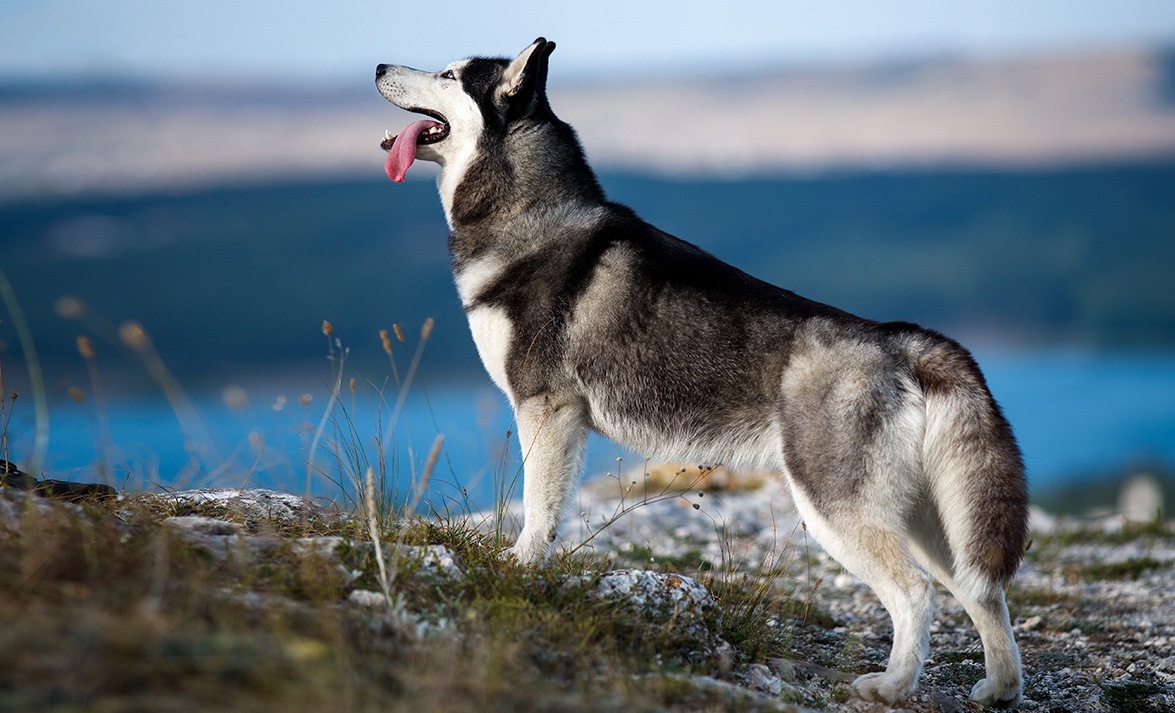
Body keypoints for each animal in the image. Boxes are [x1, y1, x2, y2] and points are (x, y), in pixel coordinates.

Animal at [376, 40, 1029, 709]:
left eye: (449, 75)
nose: (377, 68)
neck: (529, 214)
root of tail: (900, 341)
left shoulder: (545, 408)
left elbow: (538, 509)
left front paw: (520, 569)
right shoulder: (567, 422)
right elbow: (552, 510)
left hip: (837, 506)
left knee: (917, 593)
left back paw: (893, 685)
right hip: (932, 520)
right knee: (983, 592)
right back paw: (999, 688)